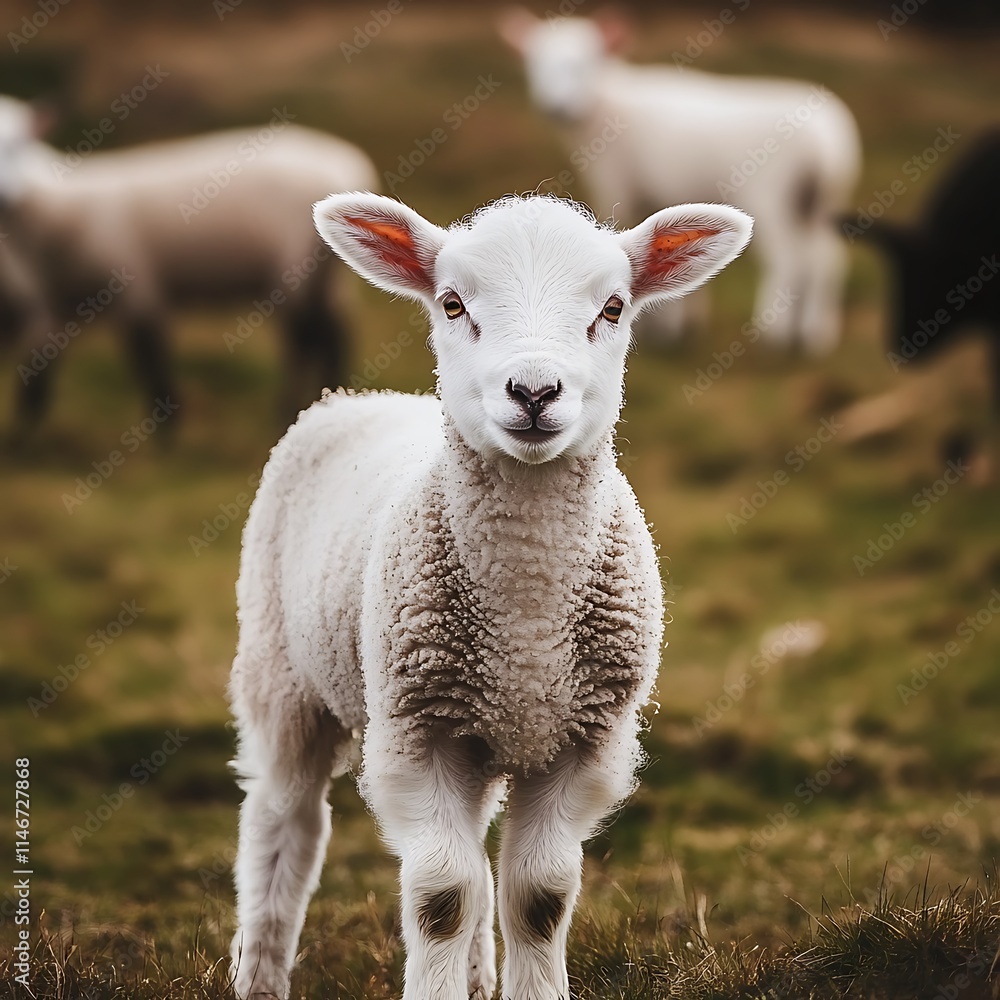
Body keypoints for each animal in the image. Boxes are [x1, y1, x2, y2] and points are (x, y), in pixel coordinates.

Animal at [0, 96, 377, 429]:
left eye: (20, 144)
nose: (5, 197)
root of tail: (347, 162)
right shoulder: (52, 305)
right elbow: (40, 366)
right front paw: (26, 430)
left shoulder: (135, 285)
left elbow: (149, 360)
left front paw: (166, 432)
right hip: (327, 276)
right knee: (332, 335)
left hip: (293, 263)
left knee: (304, 340)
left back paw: (289, 409)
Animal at [227, 190, 752, 1000]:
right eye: (452, 303)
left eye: (613, 307)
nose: (534, 392)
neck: (527, 616)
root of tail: (352, 397)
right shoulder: (416, 729)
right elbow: (442, 895)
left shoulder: (583, 738)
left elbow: (538, 895)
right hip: (283, 675)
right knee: (284, 825)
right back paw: (260, 972)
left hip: (477, 729)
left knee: (473, 848)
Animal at [498, 9, 860, 355]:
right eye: (534, 63)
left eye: (586, 63)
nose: (555, 108)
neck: (605, 105)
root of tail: (825, 147)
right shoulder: (662, 195)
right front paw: (682, 326)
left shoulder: (618, 183)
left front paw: (654, 330)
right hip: (824, 201)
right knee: (827, 259)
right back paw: (815, 335)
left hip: (773, 193)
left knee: (791, 260)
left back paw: (776, 333)